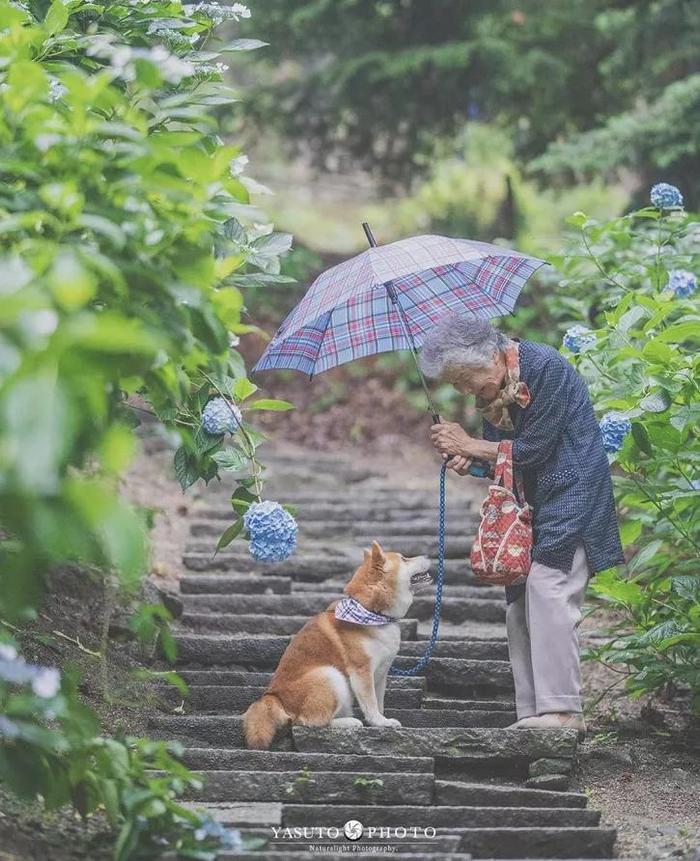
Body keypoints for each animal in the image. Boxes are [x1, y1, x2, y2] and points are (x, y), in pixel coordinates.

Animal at [245, 540, 432, 748]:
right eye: (404, 558)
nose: (428, 555)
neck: (371, 613)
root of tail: (274, 697)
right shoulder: (361, 671)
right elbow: (371, 702)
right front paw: (379, 722)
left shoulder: (382, 672)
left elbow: (379, 700)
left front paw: (381, 719)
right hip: (330, 675)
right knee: (310, 721)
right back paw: (350, 722)